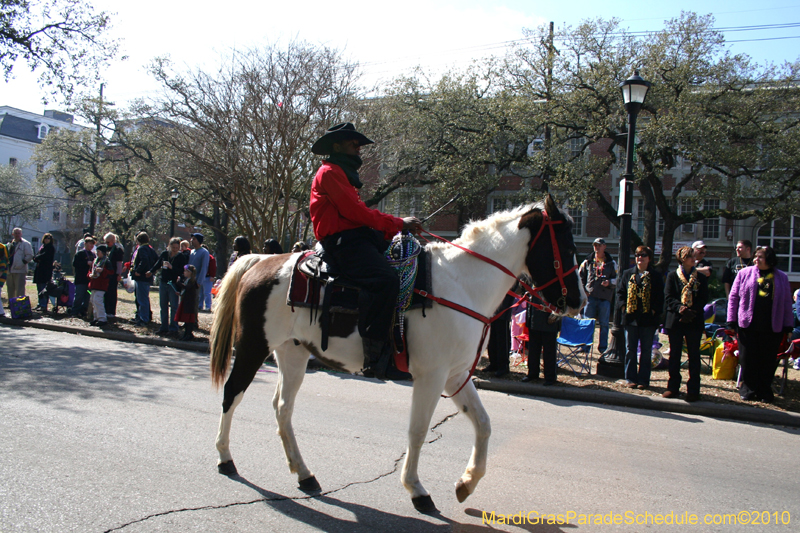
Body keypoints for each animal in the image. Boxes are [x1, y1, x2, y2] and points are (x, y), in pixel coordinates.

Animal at [209, 194, 584, 512]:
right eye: (566, 245)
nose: (578, 301)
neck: (461, 284)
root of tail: (260, 261)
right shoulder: (431, 376)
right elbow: (418, 431)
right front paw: (417, 490)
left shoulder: (456, 376)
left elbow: (483, 423)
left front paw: (466, 483)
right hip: (253, 346)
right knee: (232, 393)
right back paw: (225, 459)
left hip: (293, 353)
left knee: (283, 408)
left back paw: (304, 474)